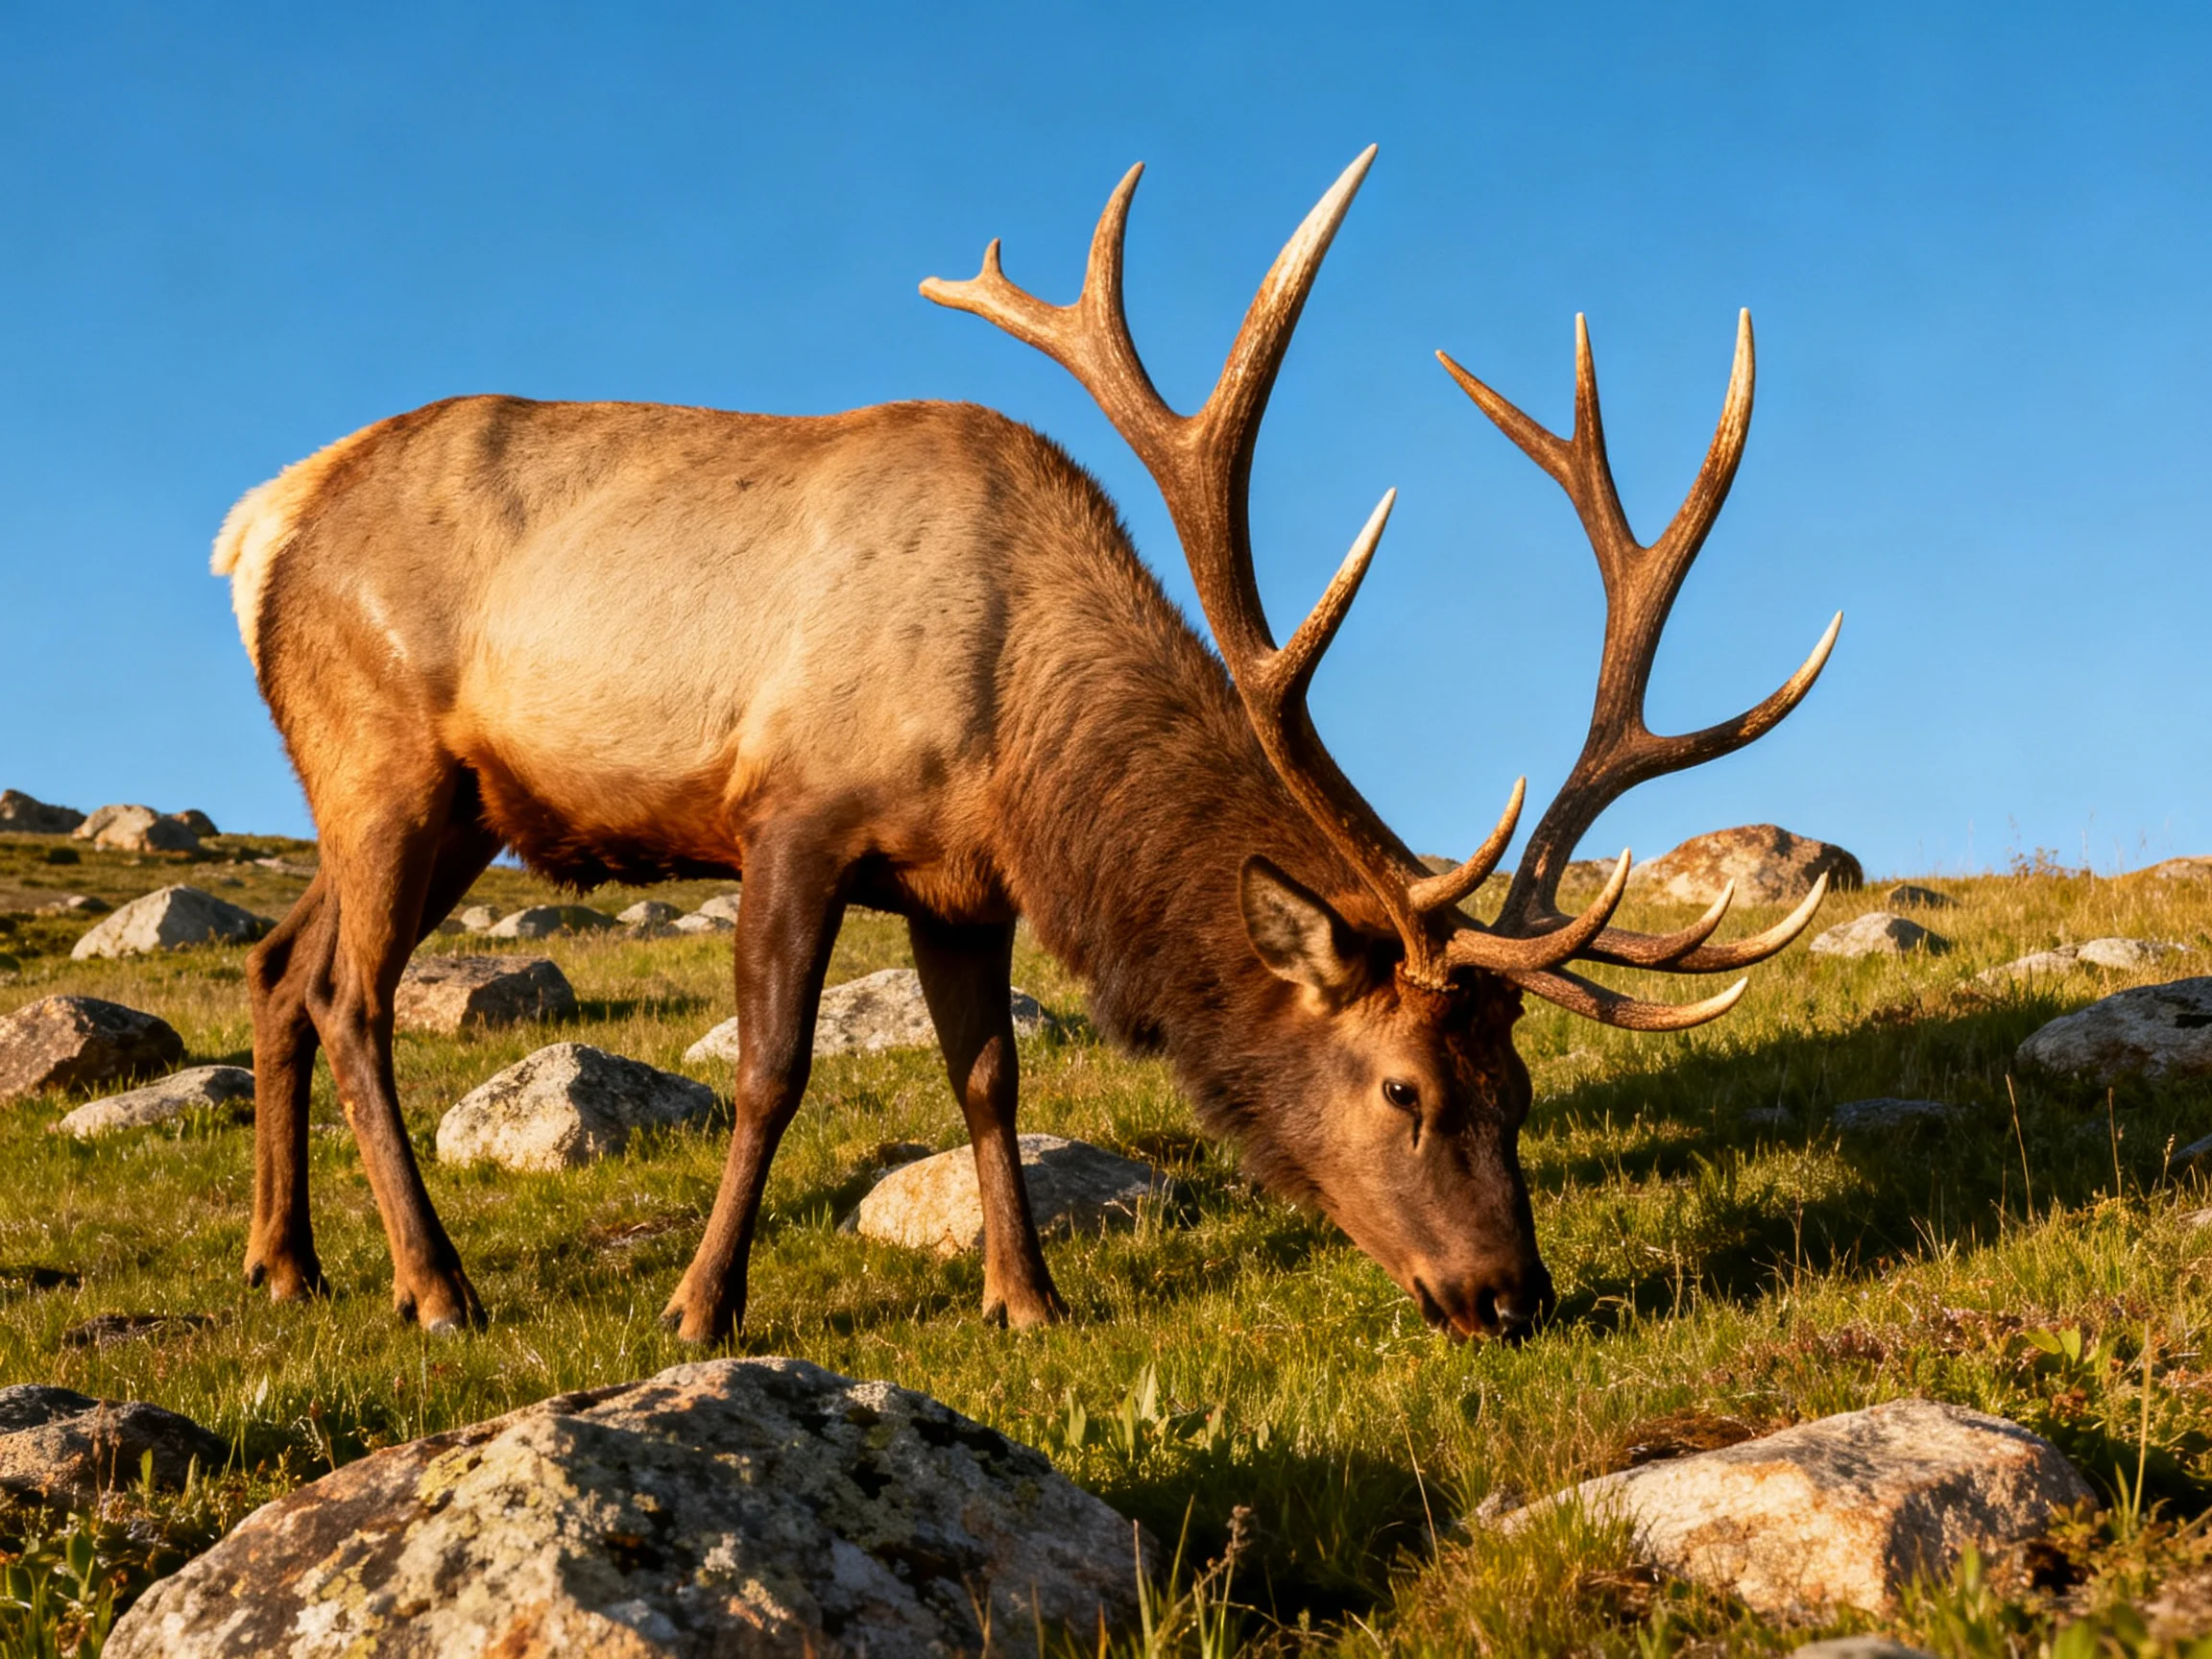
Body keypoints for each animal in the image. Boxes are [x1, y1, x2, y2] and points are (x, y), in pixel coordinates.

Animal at [214, 146, 1837, 1346]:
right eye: (1404, 1090)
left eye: (1525, 1093)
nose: (1511, 1295)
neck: (1015, 739)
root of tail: (260, 525)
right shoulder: (792, 814)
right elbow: (774, 1067)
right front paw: (700, 1307)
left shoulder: (959, 885)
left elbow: (990, 1074)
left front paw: (1028, 1298)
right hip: (383, 759)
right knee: (354, 996)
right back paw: (435, 1285)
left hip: (443, 804)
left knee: (280, 962)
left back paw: (285, 1263)